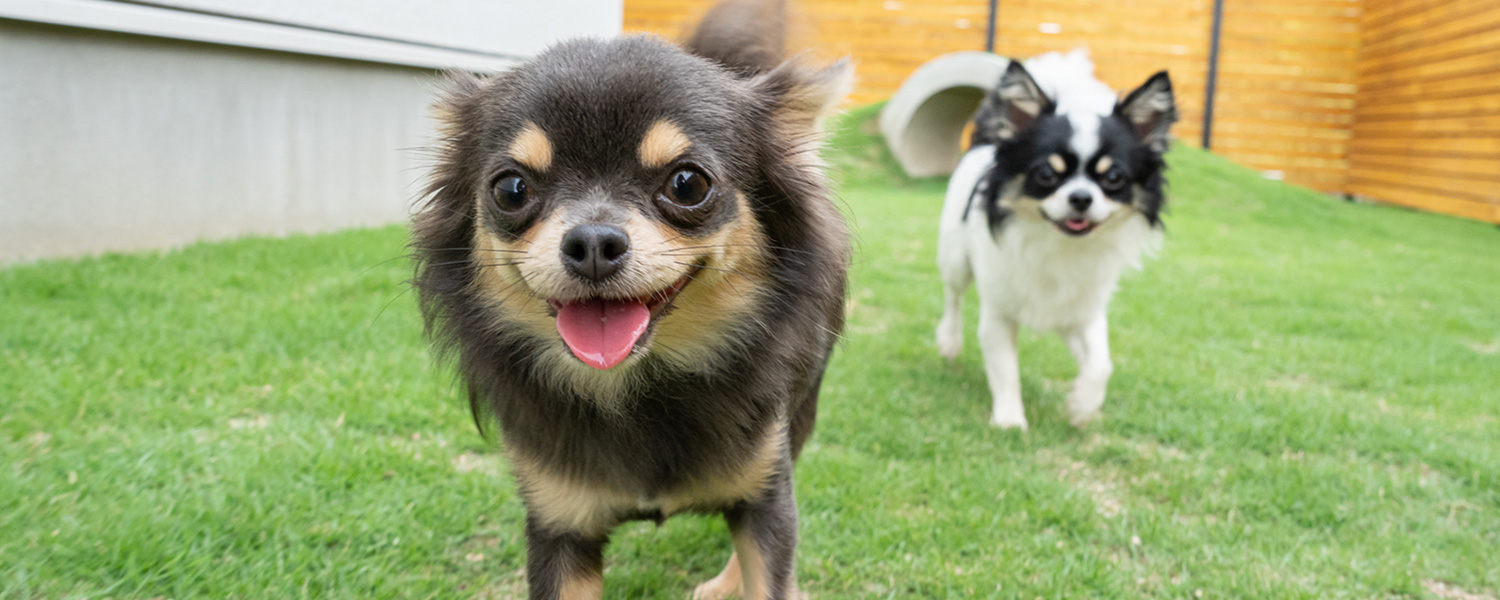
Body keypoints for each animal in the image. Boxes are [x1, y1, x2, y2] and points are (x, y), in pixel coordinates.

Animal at [417, 0, 852, 594]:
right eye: (511, 189)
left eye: (688, 184)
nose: (593, 244)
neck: (637, 388)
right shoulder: (558, 525)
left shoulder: (765, 490)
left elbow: (770, 569)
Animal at [936, 49, 1170, 429]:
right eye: (1047, 174)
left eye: (1114, 178)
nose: (1081, 197)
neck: (1058, 244)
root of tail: (987, 141)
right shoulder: (999, 312)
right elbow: (1005, 368)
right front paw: (1010, 420)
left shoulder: (1080, 314)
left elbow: (1101, 364)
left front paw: (1082, 406)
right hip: (955, 260)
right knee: (953, 296)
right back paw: (949, 340)